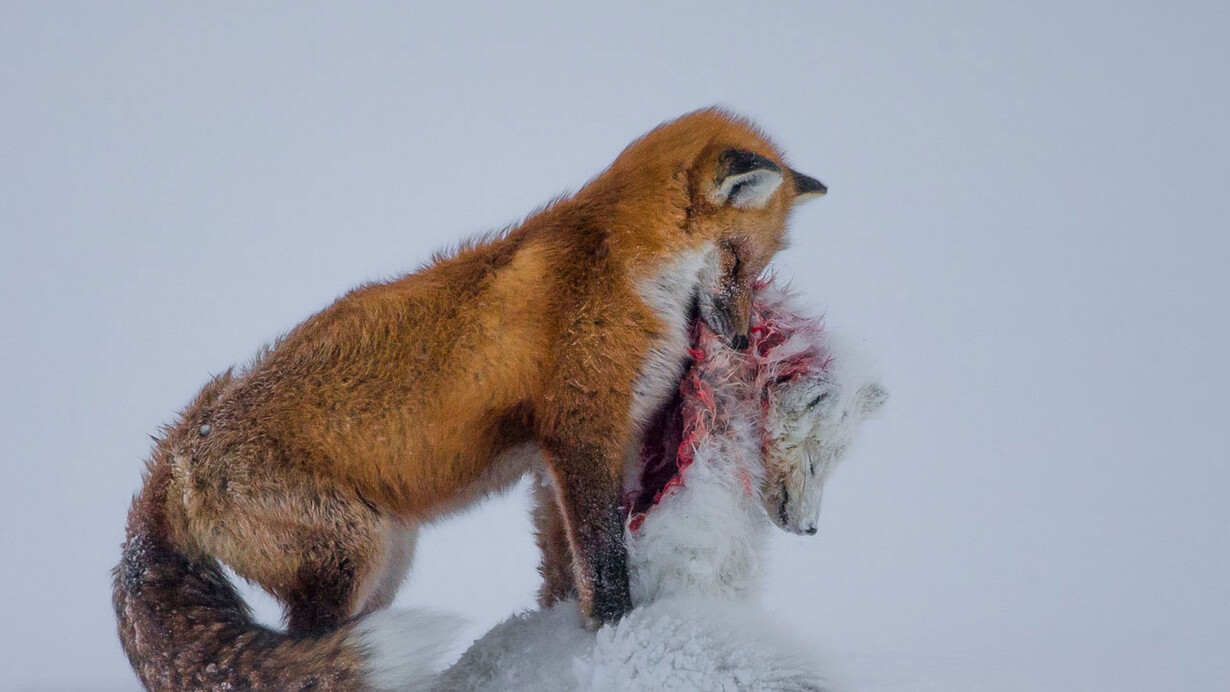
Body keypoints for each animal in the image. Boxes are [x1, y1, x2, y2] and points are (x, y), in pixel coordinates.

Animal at [113, 107, 827, 692]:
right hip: (356, 555)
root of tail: (176, 453)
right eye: (737, 261)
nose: (740, 338)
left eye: (757, 269)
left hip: (385, 564)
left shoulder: (555, 463)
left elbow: (564, 573)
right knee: (309, 658)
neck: (625, 268)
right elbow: (604, 571)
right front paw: (614, 639)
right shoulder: (581, 433)